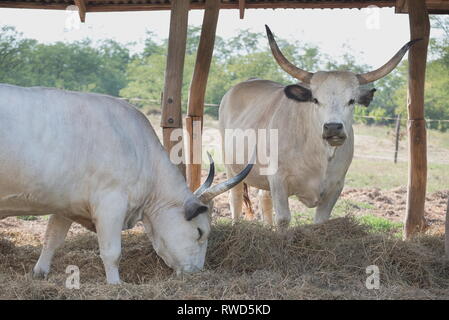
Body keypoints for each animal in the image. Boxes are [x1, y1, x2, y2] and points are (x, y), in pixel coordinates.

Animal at [0, 84, 252, 284]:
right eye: (200, 231)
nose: (197, 272)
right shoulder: (110, 204)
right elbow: (111, 252)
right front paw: (115, 284)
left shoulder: (66, 205)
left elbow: (52, 238)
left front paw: (40, 272)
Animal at [219, 26, 418, 229]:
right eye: (315, 99)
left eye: (351, 100)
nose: (333, 127)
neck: (320, 155)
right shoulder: (278, 181)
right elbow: (283, 219)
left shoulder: (335, 187)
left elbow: (320, 221)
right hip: (232, 167)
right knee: (235, 197)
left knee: (263, 198)